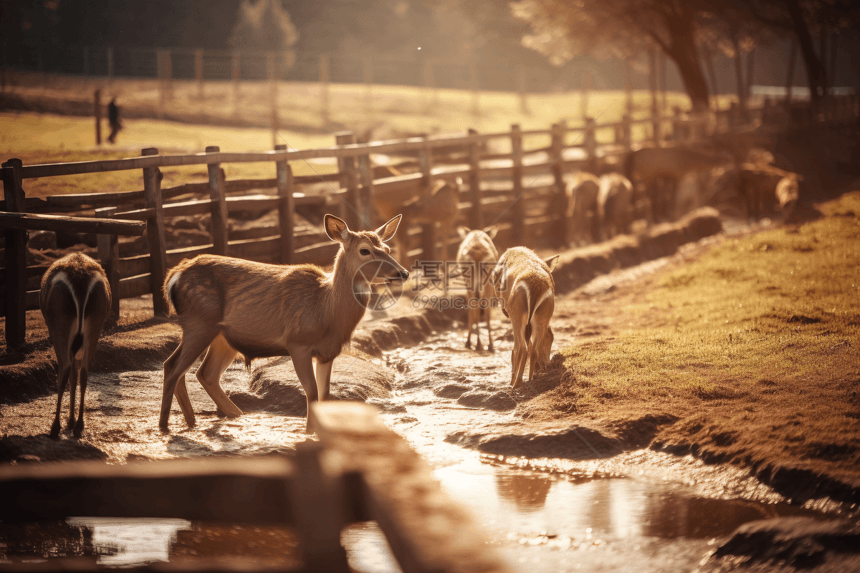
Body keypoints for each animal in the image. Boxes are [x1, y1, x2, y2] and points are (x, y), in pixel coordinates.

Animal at [39, 251, 111, 438]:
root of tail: (80, 279)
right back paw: (79, 425)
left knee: (64, 368)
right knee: (84, 371)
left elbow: (69, 372)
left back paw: (55, 427)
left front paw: (67, 421)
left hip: (60, 322)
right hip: (96, 321)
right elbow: (76, 373)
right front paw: (71, 421)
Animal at [161, 212, 410, 432]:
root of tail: (173, 276)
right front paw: (309, 432)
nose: (403, 272)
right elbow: (311, 392)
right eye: (365, 250)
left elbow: (325, 394)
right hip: (199, 323)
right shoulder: (297, 342)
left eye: (387, 249)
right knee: (174, 368)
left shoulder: (328, 351)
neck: (325, 310)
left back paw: (213, 419)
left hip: (221, 337)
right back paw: (165, 426)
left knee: (202, 373)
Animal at [490, 246, 556, 388]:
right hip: (540, 317)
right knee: (533, 349)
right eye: (550, 339)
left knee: (521, 348)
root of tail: (536, 287)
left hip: (517, 316)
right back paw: (530, 379)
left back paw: (515, 383)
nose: (547, 364)